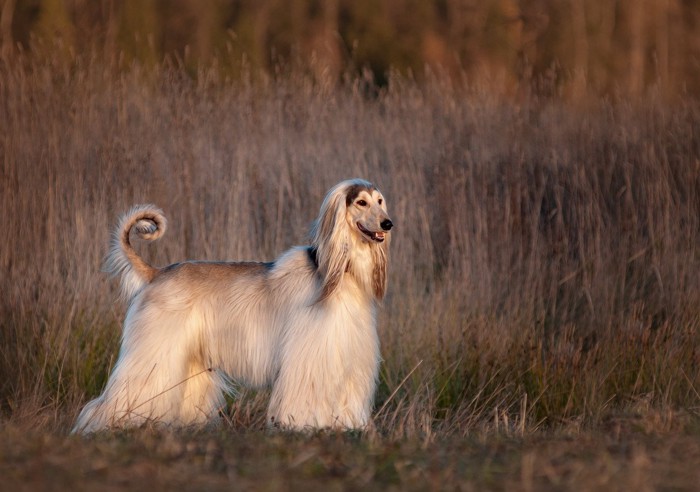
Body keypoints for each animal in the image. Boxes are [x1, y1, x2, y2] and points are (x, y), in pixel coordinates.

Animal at [73, 179, 392, 432]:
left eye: (380, 201)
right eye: (361, 203)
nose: (388, 224)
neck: (339, 276)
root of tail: (157, 273)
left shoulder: (348, 355)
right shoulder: (310, 356)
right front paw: (304, 426)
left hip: (187, 357)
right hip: (154, 352)